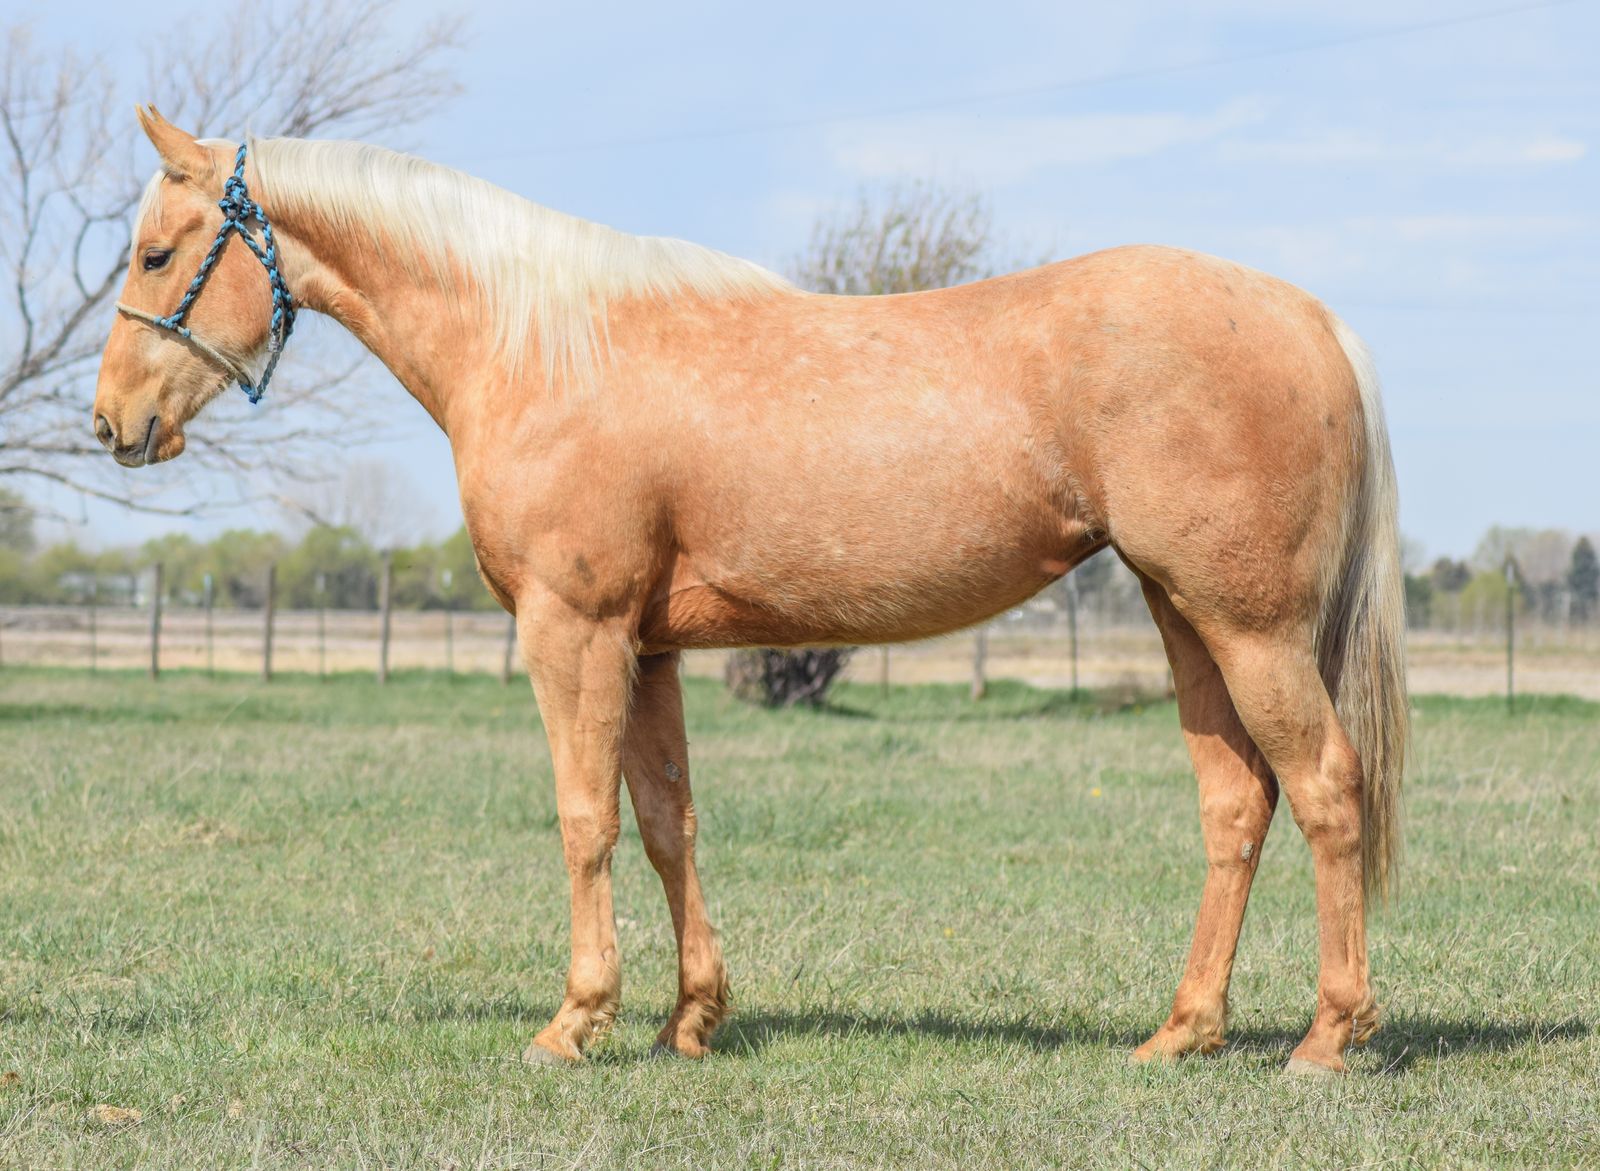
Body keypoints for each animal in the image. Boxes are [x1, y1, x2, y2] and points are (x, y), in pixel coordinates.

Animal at [93, 108, 1407, 1075]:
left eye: (158, 252)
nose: (113, 422)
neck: (542, 346)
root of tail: (1308, 317)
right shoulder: (649, 646)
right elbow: (666, 820)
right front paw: (690, 1019)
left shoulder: (572, 631)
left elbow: (584, 819)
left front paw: (573, 1023)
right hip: (1187, 619)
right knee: (1236, 807)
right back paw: (1180, 1033)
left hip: (1250, 629)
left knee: (1325, 791)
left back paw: (1324, 1039)